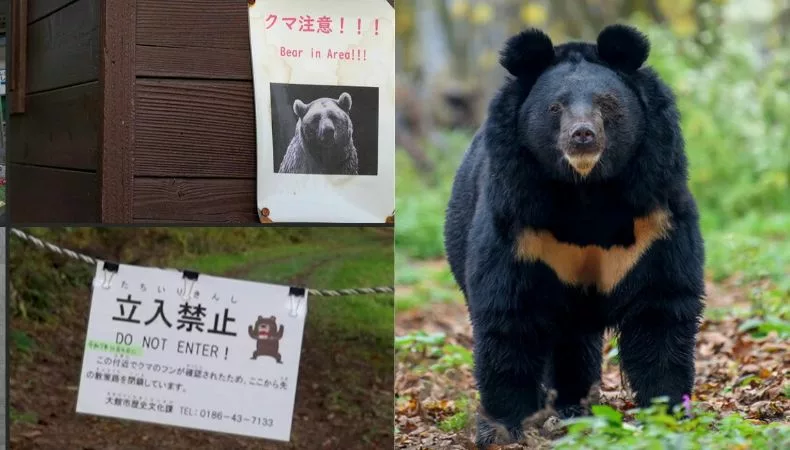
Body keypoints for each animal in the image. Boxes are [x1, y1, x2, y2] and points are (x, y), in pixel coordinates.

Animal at [443, 25, 705, 447]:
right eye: (555, 108)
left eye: (607, 104)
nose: (582, 135)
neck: (586, 189)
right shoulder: (519, 221)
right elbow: (509, 316)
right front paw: (502, 428)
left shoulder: (655, 214)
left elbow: (661, 308)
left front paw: (667, 414)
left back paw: (575, 408)